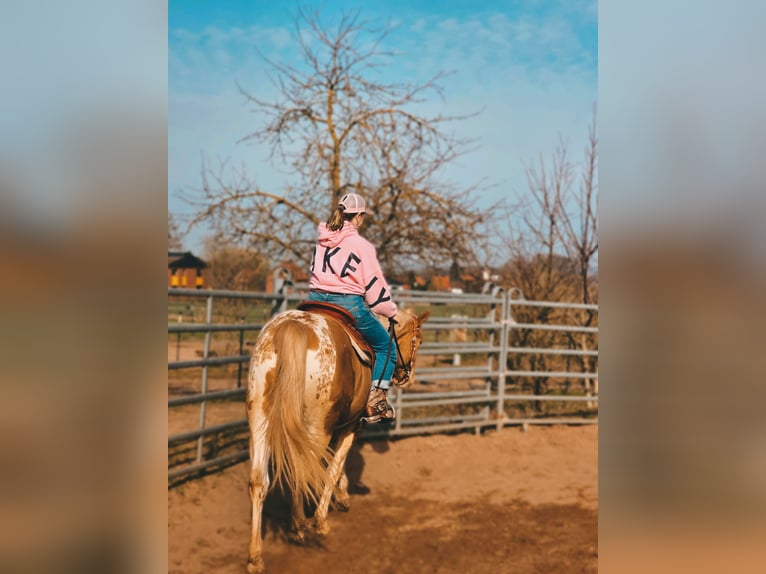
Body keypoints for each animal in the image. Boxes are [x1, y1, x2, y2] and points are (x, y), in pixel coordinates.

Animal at [245, 305, 429, 574]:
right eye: (418, 339)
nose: (409, 377)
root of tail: (292, 327)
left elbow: (328, 465)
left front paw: (340, 497)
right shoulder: (351, 426)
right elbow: (333, 466)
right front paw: (324, 516)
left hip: (260, 418)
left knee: (260, 481)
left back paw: (256, 557)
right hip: (316, 425)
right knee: (303, 470)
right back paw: (302, 526)